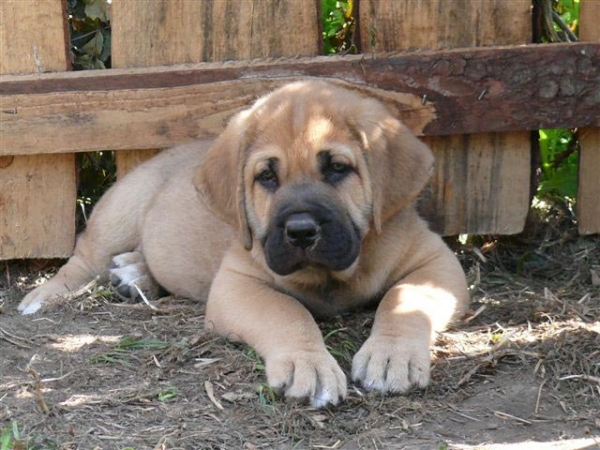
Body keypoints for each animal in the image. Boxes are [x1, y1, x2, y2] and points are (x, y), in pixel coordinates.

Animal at [17, 80, 468, 408]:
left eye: (338, 169)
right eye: (266, 177)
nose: (300, 231)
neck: (329, 277)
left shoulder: (435, 262)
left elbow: (404, 300)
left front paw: (392, 355)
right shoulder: (237, 283)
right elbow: (285, 311)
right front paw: (308, 364)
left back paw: (136, 275)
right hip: (120, 211)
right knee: (82, 258)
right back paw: (44, 296)